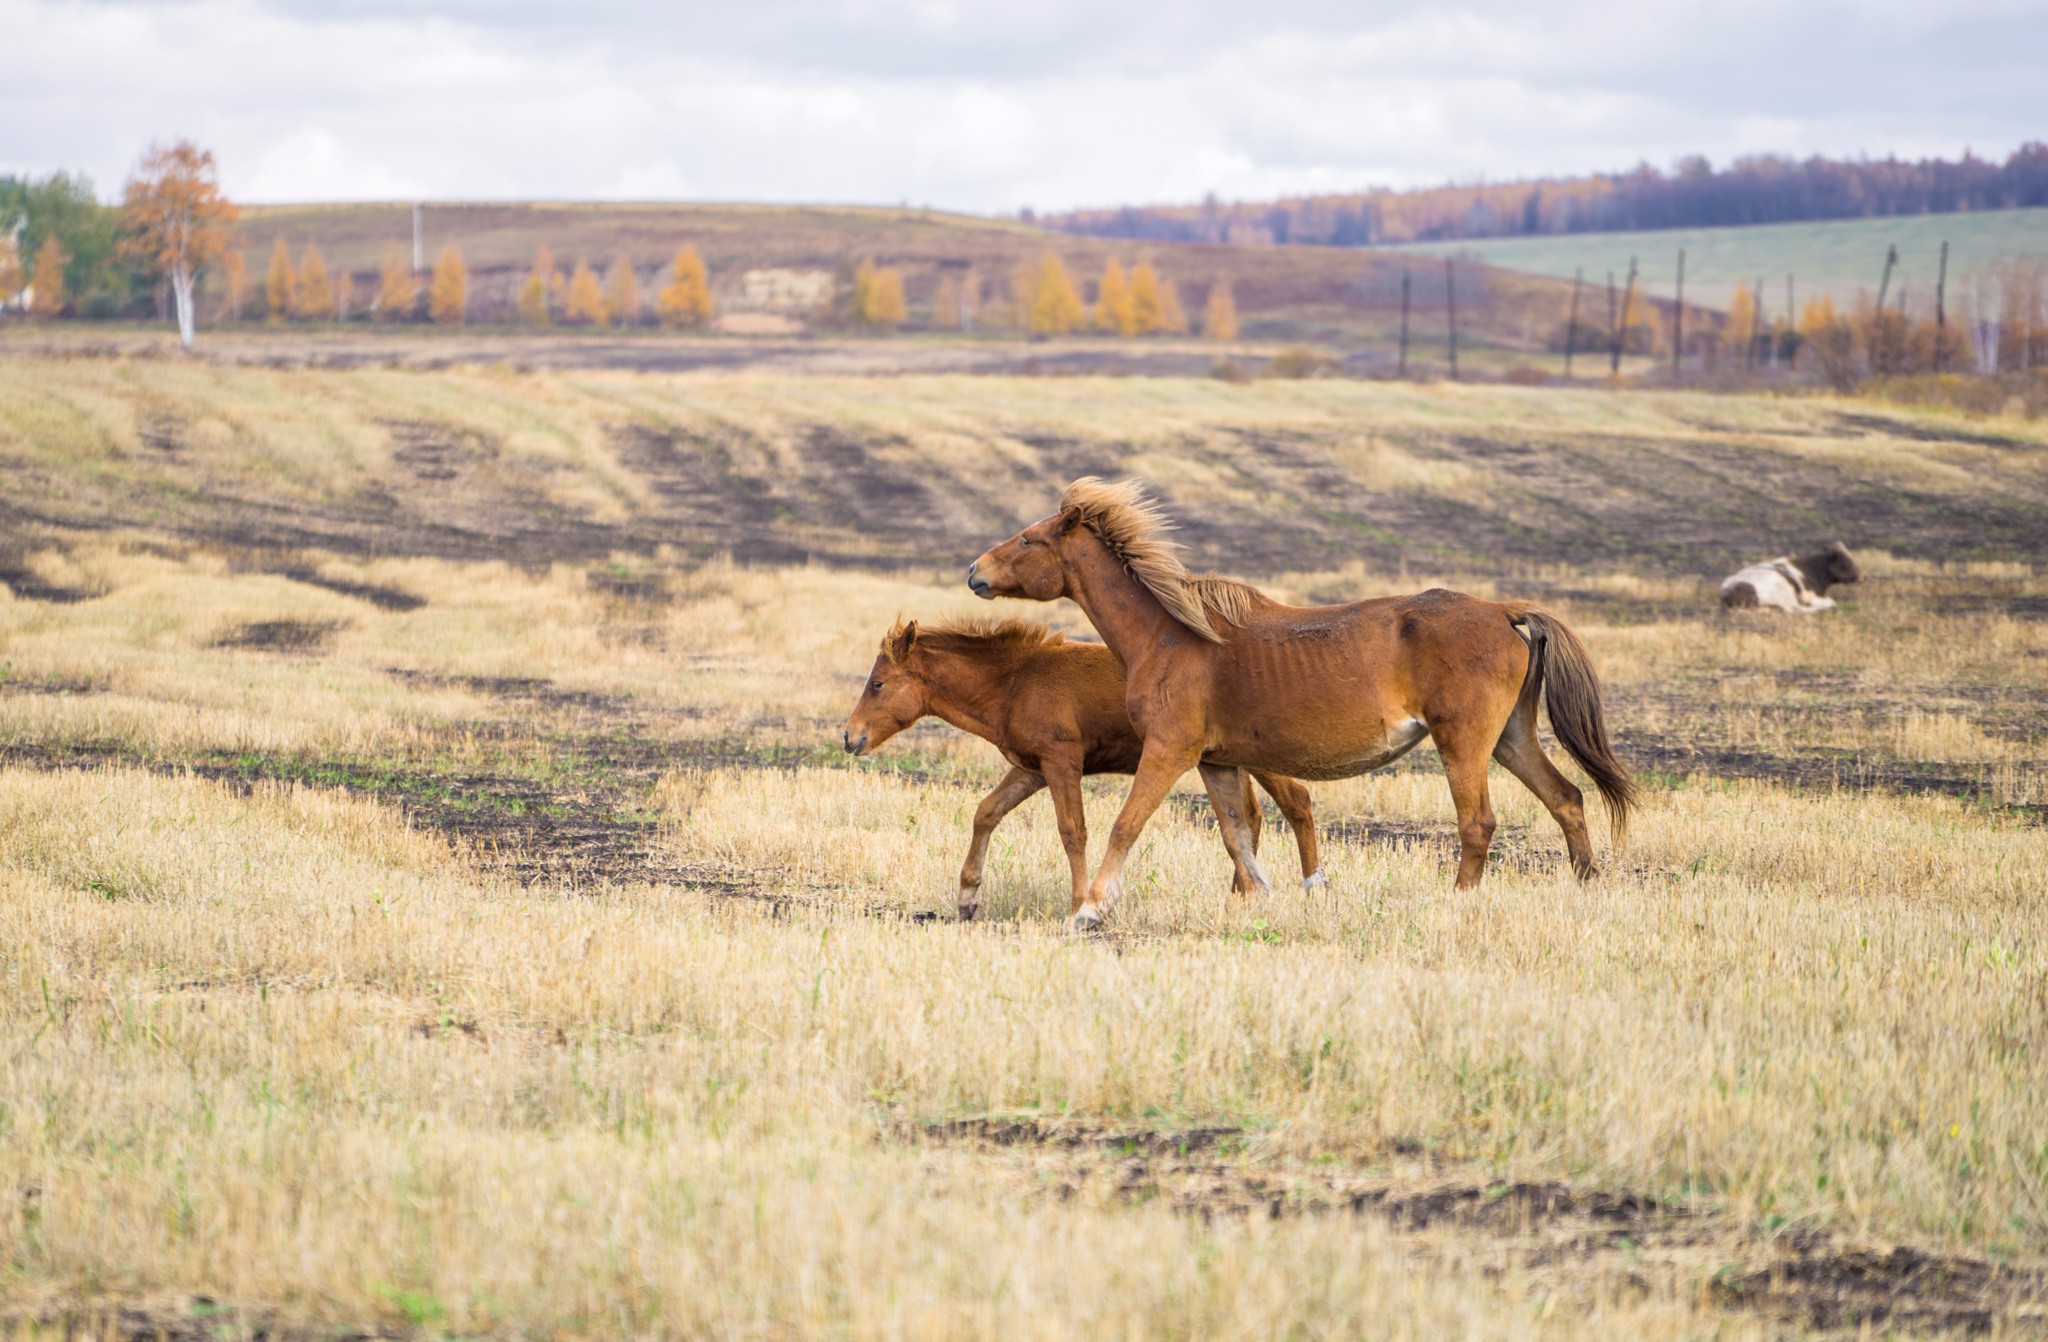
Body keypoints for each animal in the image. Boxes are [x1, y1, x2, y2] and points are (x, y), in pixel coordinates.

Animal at [839, 618, 1318, 926]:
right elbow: (986, 812)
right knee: (1250, 816)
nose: (849, 736)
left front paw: (1078, 906)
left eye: (877, 684)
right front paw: (967, 898)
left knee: (1296, 802)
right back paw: (1242, 898)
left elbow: (1073, 831)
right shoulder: (1031, 769)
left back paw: (1308, 889)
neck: (1015, 682)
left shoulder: (1061, 763)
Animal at [966, 479, 1638, 934]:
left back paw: (1460, 904)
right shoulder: (1216, 762)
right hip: (1510, 739)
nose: (975, 571)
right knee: (1567, 799)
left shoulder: (1169, 751)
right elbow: (1237, 835)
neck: (1172, 635)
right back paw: (1586, 890)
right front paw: (1262, 899)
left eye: (1028, 539)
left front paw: (1088, 912)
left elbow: (1127, 825)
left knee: (1479, 825)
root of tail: (1503, 611)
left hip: (1464, 743)